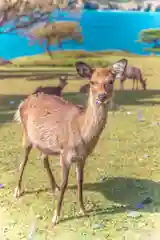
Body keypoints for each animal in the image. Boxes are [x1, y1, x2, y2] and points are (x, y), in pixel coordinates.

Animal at [13, 57, 127, 225]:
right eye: (92, 81)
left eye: (111, 81)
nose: (102, 96)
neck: (82, 135)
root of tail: (23, 102)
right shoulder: (65, 154)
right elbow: (65, 183)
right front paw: (55, 217)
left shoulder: (82, 157)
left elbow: (80, 181)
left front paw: (83, 210)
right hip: (26, 135)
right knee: (23, 161)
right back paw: (17, 191)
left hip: (44, 143)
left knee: (43, 158)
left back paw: (54, 187)